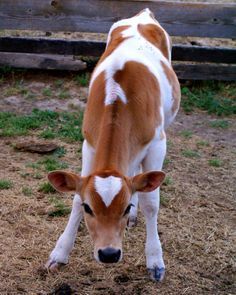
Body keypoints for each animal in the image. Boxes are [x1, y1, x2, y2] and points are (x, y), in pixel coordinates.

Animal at [45, 8, 180, 282]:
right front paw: (60, 253)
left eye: (125, 207)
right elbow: (75, 198)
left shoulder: (158, 144)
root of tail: (143, 13)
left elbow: (151, 202)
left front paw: (155, 260)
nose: (108, 253)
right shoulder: (89, 143)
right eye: (89, 207)